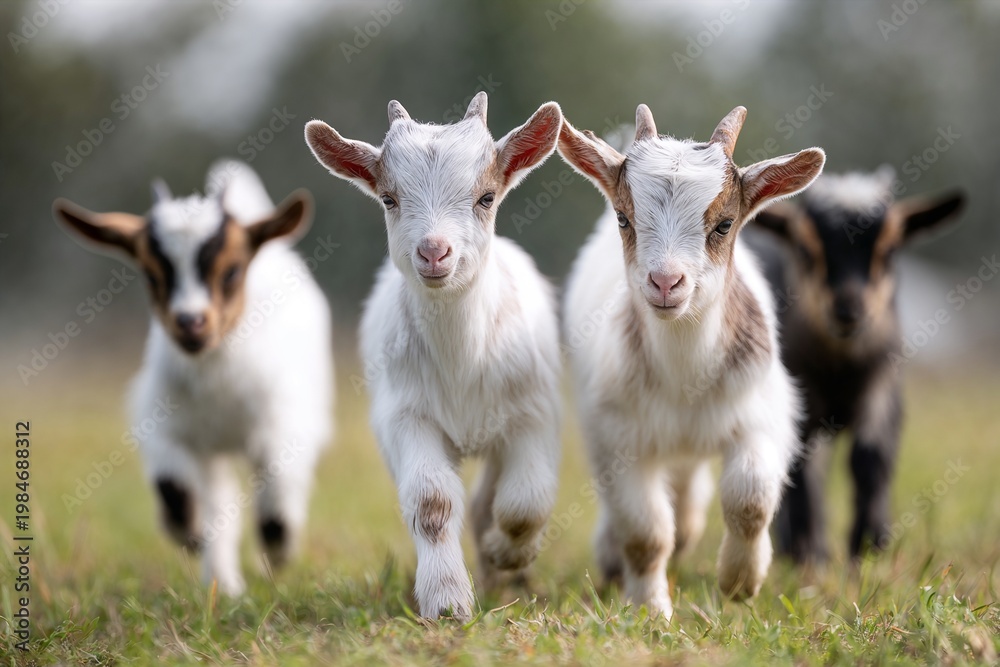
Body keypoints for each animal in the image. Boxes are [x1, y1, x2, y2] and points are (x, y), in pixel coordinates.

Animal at [53, 160, 334, 595]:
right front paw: (187, 532)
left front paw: (278, 549)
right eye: (151, 276)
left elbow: (277, 479)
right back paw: (222, 582)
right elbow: (174, 485)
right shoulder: (162, 424)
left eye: (232, 271)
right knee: (221, 504)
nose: (189, 322)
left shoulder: (285, 421)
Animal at [304, 92, 563, 622]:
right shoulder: (407, 415)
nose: (433, 251)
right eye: (389, 198)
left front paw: (506, 553)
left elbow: (524, 504)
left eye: (486, 198)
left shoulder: (532, 412)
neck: (461, 358)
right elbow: (431, 504)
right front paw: (447, 601)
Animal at [558, 105, 825, 617]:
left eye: (724, 224)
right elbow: (645, 532)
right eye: (625, 218)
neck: (684, 377)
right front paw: (649, 609)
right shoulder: (617, 436)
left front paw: (740, 581)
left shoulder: (763, 413)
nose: (666, 283)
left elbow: (751, 500)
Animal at [748, 167, 964, 563]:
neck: (840, 368)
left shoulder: (883, 383)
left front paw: (869, 545)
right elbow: (802, 461)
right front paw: (807, 551)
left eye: (889, 250)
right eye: (806, 250)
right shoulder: (799, 394)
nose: (848, 310)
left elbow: (870, 454)